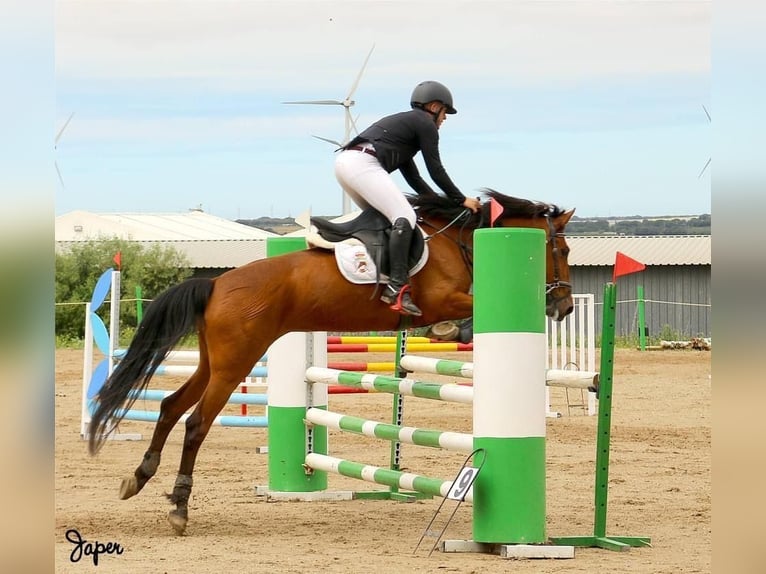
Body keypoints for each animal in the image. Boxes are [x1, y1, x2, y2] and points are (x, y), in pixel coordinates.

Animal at [87, 189, 572, 536]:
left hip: (214, 362)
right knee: (195, 423)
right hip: (234, 364)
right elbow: (461, 311)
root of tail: (216, 283)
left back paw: (139, 478)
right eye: (563, 250)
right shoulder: (443, 299)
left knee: (170, 406)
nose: (565, 307)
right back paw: (180, 508)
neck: (460, 241)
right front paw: (452, 331)